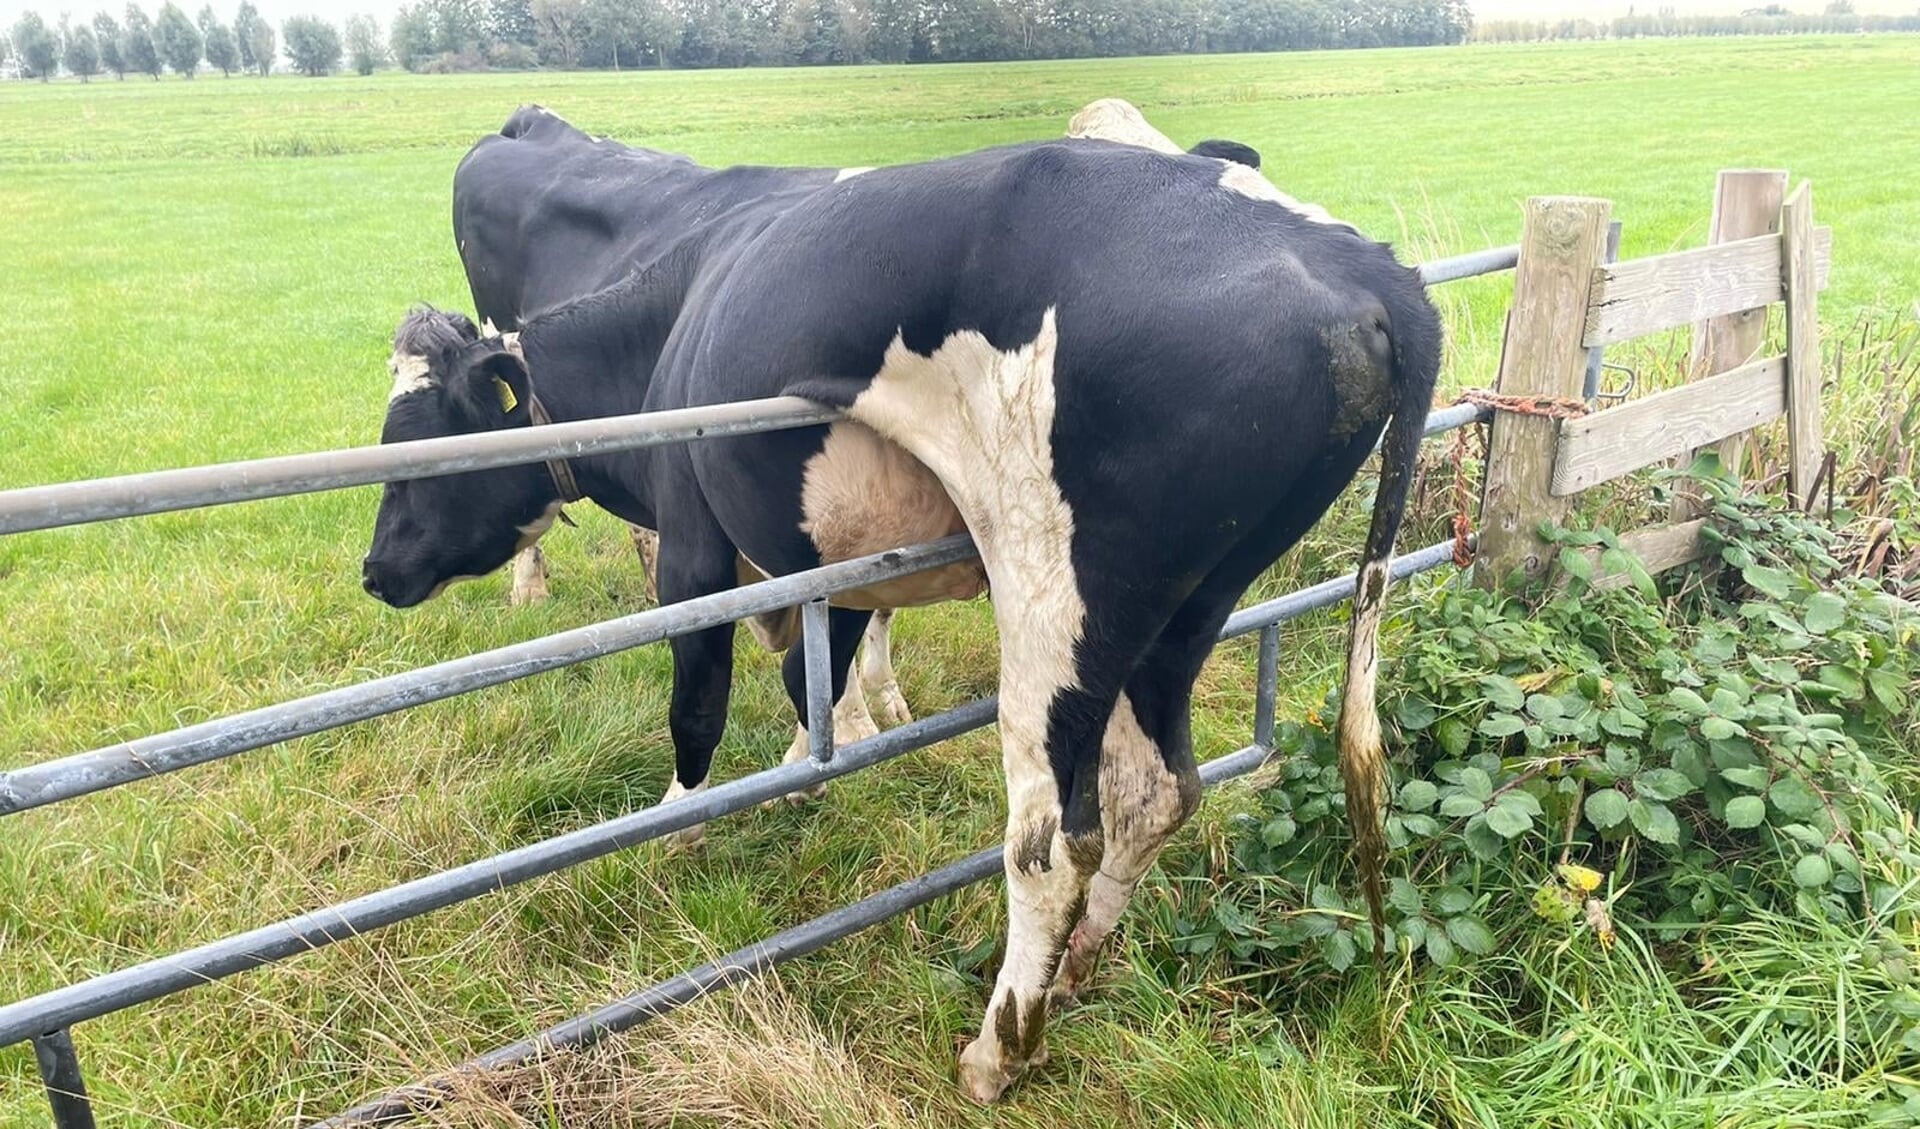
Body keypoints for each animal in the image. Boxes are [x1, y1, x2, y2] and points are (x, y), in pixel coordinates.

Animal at [362, 99, 1443, 1105]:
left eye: (414, 445)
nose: (374, 570)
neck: (680, 309)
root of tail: (1359, 260)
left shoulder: (695, 544)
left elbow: (699, 701)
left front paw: (682, 824)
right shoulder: (829, 565)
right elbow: (816, 679)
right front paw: (811, 763)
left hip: (1057, 602)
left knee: (1050, 842)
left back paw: (997, 1051)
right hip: (1190, 604)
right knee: (1156, 790)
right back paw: (1078, 970)